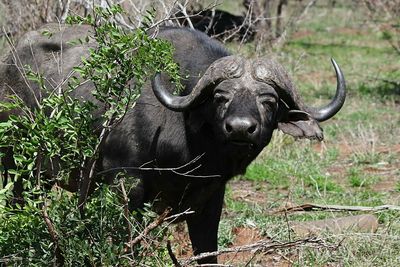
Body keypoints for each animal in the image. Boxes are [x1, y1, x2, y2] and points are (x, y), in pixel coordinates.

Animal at [0, 24, 344, 264]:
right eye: (220, 97)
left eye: (268, 100)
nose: (240, 128)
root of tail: (10, 62)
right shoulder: (125, 186)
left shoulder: (209, 197)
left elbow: (207, 251)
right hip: (17, 168)